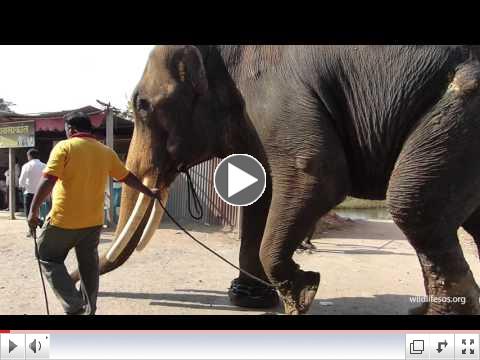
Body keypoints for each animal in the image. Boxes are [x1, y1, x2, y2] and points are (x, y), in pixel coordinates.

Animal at [68, 45, 480, 316]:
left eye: (142, 106)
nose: (77, 295)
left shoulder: (279, 94)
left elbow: (317, 173)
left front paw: (304, 292)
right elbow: (261, 193)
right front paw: (248, 300)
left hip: (462, 107)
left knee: (413, 204)